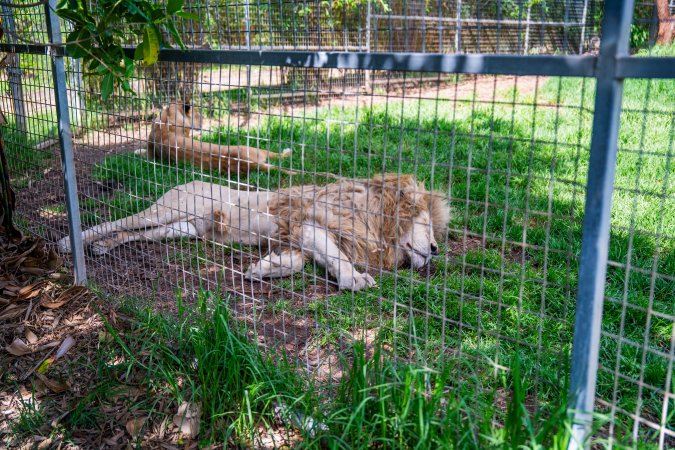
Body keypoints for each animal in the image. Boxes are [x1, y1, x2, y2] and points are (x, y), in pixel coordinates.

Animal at [57, 175, 450, 291]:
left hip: (178, 229)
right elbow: (337, 257)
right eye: (427, 225)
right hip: (169, 210)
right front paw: (355, 279)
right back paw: (70, 242)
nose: (434, 249)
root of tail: (183, 181)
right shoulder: (308, 224)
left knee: (135, 236)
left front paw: (265, 268)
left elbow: (298, 263)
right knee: (117, 223)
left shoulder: (297, 238)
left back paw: (103, 248)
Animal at [147, 103, 292, 173]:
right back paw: (289, 151)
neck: (167, 118)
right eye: (198, 114)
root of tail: (251, 164)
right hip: (253, 148)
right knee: (277, 155)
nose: (203, 122)